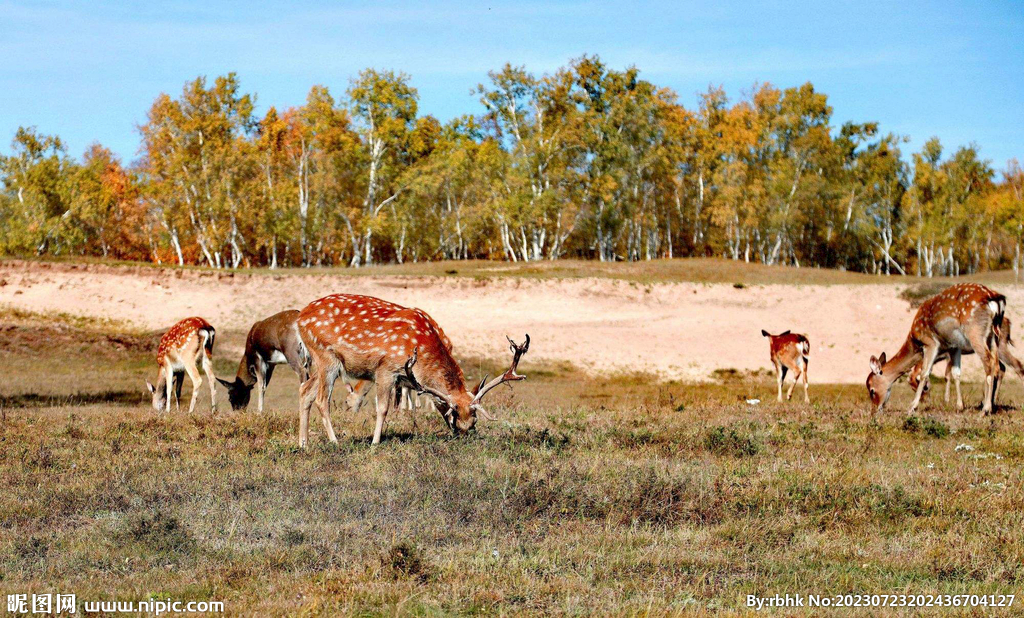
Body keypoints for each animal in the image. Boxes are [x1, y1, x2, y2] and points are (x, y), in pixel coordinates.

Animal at [296, 292, 532, 444]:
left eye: (474, 422)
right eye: (454, 420)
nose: (463, 438)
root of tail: (299, 318)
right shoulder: (385, 369)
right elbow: (382, 408)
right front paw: (375, 443)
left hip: (323, 362)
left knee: (305, 391)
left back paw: (303, 444)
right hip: (326, 357)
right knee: (321, 400)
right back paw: (335, 441)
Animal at [864, 284, 1007, 415]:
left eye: (872, 390)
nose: (874, 410)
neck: (915, 341)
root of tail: (995, 299)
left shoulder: (930, 343)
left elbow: (924, 373)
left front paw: (912, 407)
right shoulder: (954, 346)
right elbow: (956, 373)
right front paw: (959, 406)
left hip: (975, 331)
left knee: (988, 361)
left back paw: (986, 408)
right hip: (994, 336)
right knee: (996, 364)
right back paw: (989, 404)